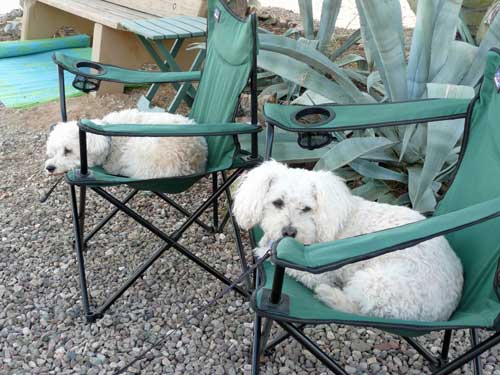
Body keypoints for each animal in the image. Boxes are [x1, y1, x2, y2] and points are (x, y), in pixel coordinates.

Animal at [232, 160, 462, 322]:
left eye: (306, 208)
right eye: (278, 202)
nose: (289, 232)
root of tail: (447, 308)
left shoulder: (318, 272)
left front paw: (264, 250)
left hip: (377, 282)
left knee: (359, 308)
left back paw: (330, 295)